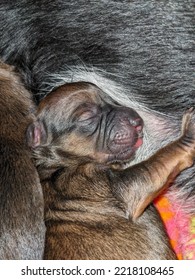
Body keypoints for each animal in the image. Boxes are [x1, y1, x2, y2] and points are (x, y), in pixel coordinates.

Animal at [26, 82, 195, 260]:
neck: (60, 162)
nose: (138, 121)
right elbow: (163, 156)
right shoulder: (122, 185)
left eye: (112, 101)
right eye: (87, 117)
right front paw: (189, 131)